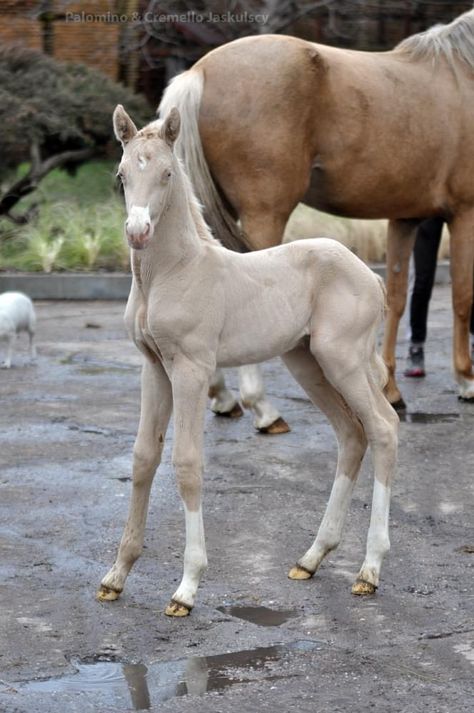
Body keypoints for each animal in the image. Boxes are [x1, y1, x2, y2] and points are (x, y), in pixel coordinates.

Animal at [97, 107, 400, 616]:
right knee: (351, 434)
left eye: (166, 173)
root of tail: (369, 275)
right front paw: (116, 577)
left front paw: (186, 587)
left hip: (344, 360)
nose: (137, 233)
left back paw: (370, 570)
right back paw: (311, 558)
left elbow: (187, 463)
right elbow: (142, 458)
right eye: (121, 176)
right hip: (308, 363)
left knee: (382, 428)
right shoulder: (154, 368)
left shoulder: (192, 369)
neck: (172, 272)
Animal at [160, 5, 474, 408]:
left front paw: (389, 388)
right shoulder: (464, 213)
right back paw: (259, 405)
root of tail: (198, 72)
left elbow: (396, 297)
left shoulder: (405, 218)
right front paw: (466, 380)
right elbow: (462, 295)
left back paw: (223, 395)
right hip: (265, 214)